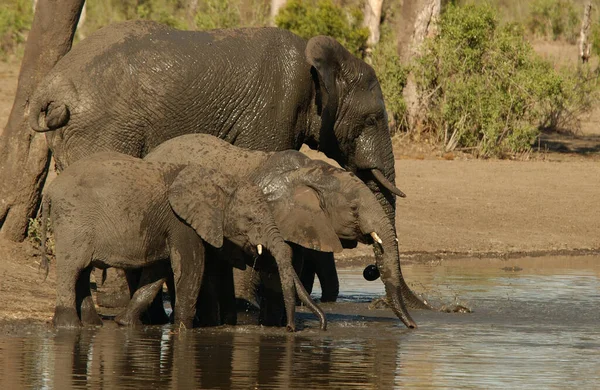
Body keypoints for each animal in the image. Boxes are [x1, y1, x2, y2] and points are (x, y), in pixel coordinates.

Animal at [30, 20, 408, 302]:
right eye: (372, 119)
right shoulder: (277, 108)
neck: (322, 59)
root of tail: (47, 89)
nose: (369, 272)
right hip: (104, 127)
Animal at [41, 151, 324, 330]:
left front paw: (125, 323)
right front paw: (184, 330)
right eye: (251, 219)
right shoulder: (181, 222)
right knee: (72, 267)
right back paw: (68, 325)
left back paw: (92, 324)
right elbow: (190, 269)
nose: (291, 329)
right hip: (73, 218)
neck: (218, 180)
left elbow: (156, 274)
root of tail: (51, 191)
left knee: (82, 270)